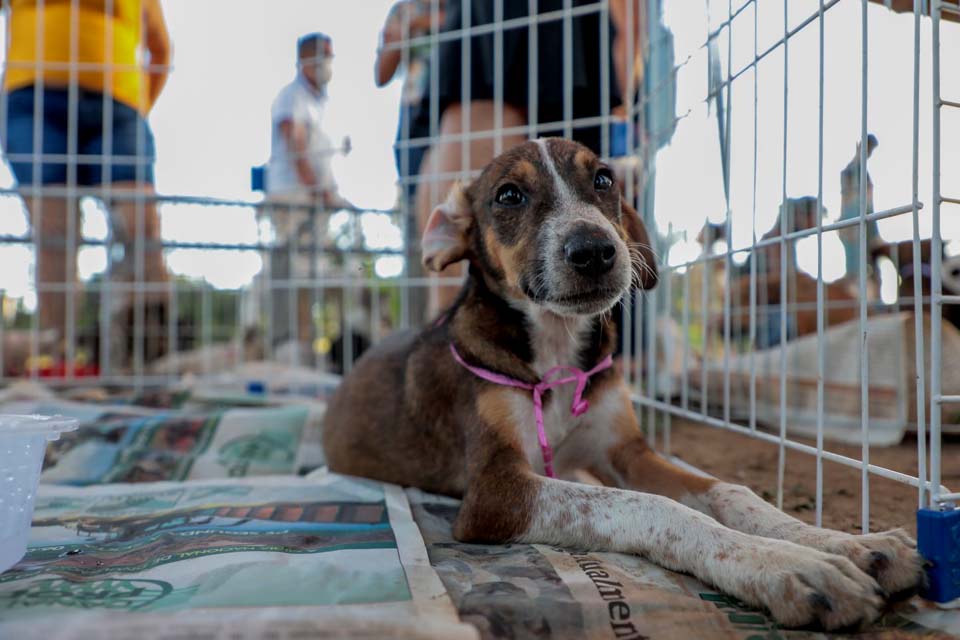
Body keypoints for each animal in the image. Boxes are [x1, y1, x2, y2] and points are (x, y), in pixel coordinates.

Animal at [326, 139, 928, 632]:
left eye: (602, 180)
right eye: (508, 195)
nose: (595, 250)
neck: (558, 350)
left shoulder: (626, 451)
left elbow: (729, 491)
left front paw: (851, 544)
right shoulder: (494, 491)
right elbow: (654, 508)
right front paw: (791, 567)